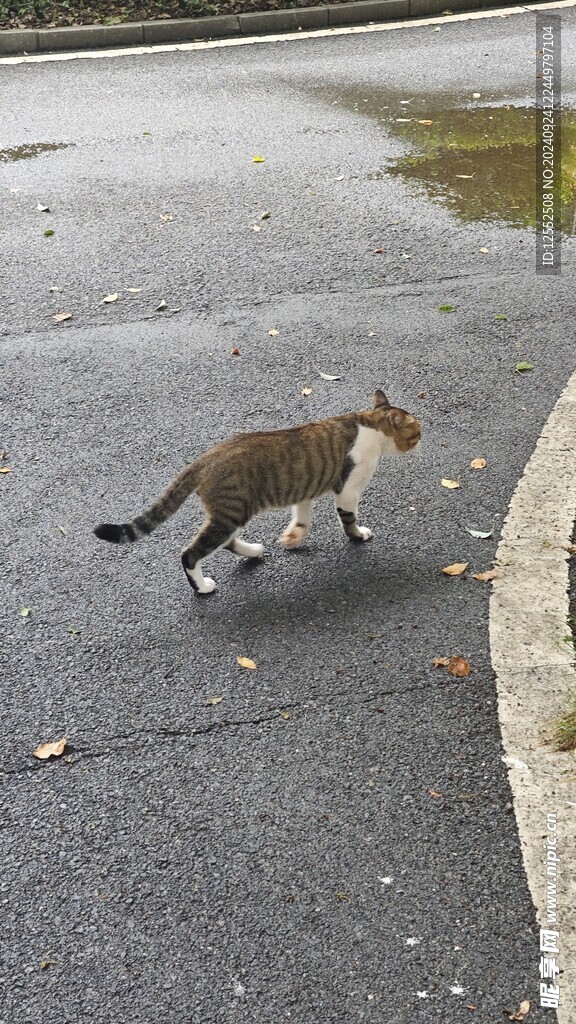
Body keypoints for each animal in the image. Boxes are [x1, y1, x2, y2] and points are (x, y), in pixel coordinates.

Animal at [93, 393, 416, 598]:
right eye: (417, 431)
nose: (421, 439)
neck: (369, 423)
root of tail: (206, 457)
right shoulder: (347, 489)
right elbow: (348, 519)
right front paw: (358, 535)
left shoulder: (305, 486)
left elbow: (303, 517)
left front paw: (294, 536)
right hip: (231, 512)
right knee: (191, 553)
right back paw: (202, 587)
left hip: (229, 514)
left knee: (224, 542)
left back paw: (254, 551)